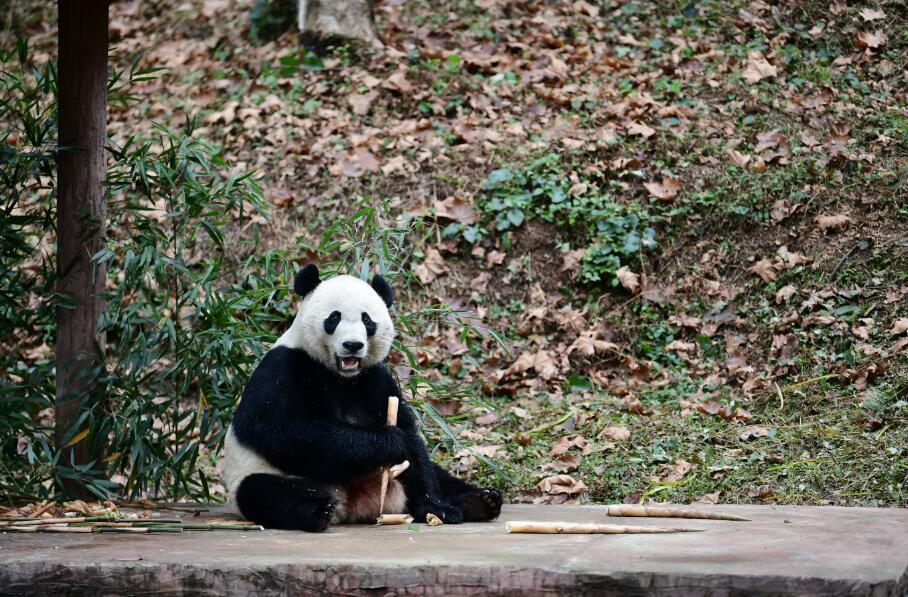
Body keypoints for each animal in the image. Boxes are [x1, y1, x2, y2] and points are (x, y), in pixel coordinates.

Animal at [221, 264, 504, 528]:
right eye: (334, 318)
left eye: (367, 320)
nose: (353, 345)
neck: (342, 376)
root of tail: (351, 504)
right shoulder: (284, 369)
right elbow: (285, 429)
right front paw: (390, 441)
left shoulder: (374, 379)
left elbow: (412, 443)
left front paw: (438, 507)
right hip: (259, 476)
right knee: (264, 493)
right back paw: (316, 511)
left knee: (436, 474)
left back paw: (479, 501)